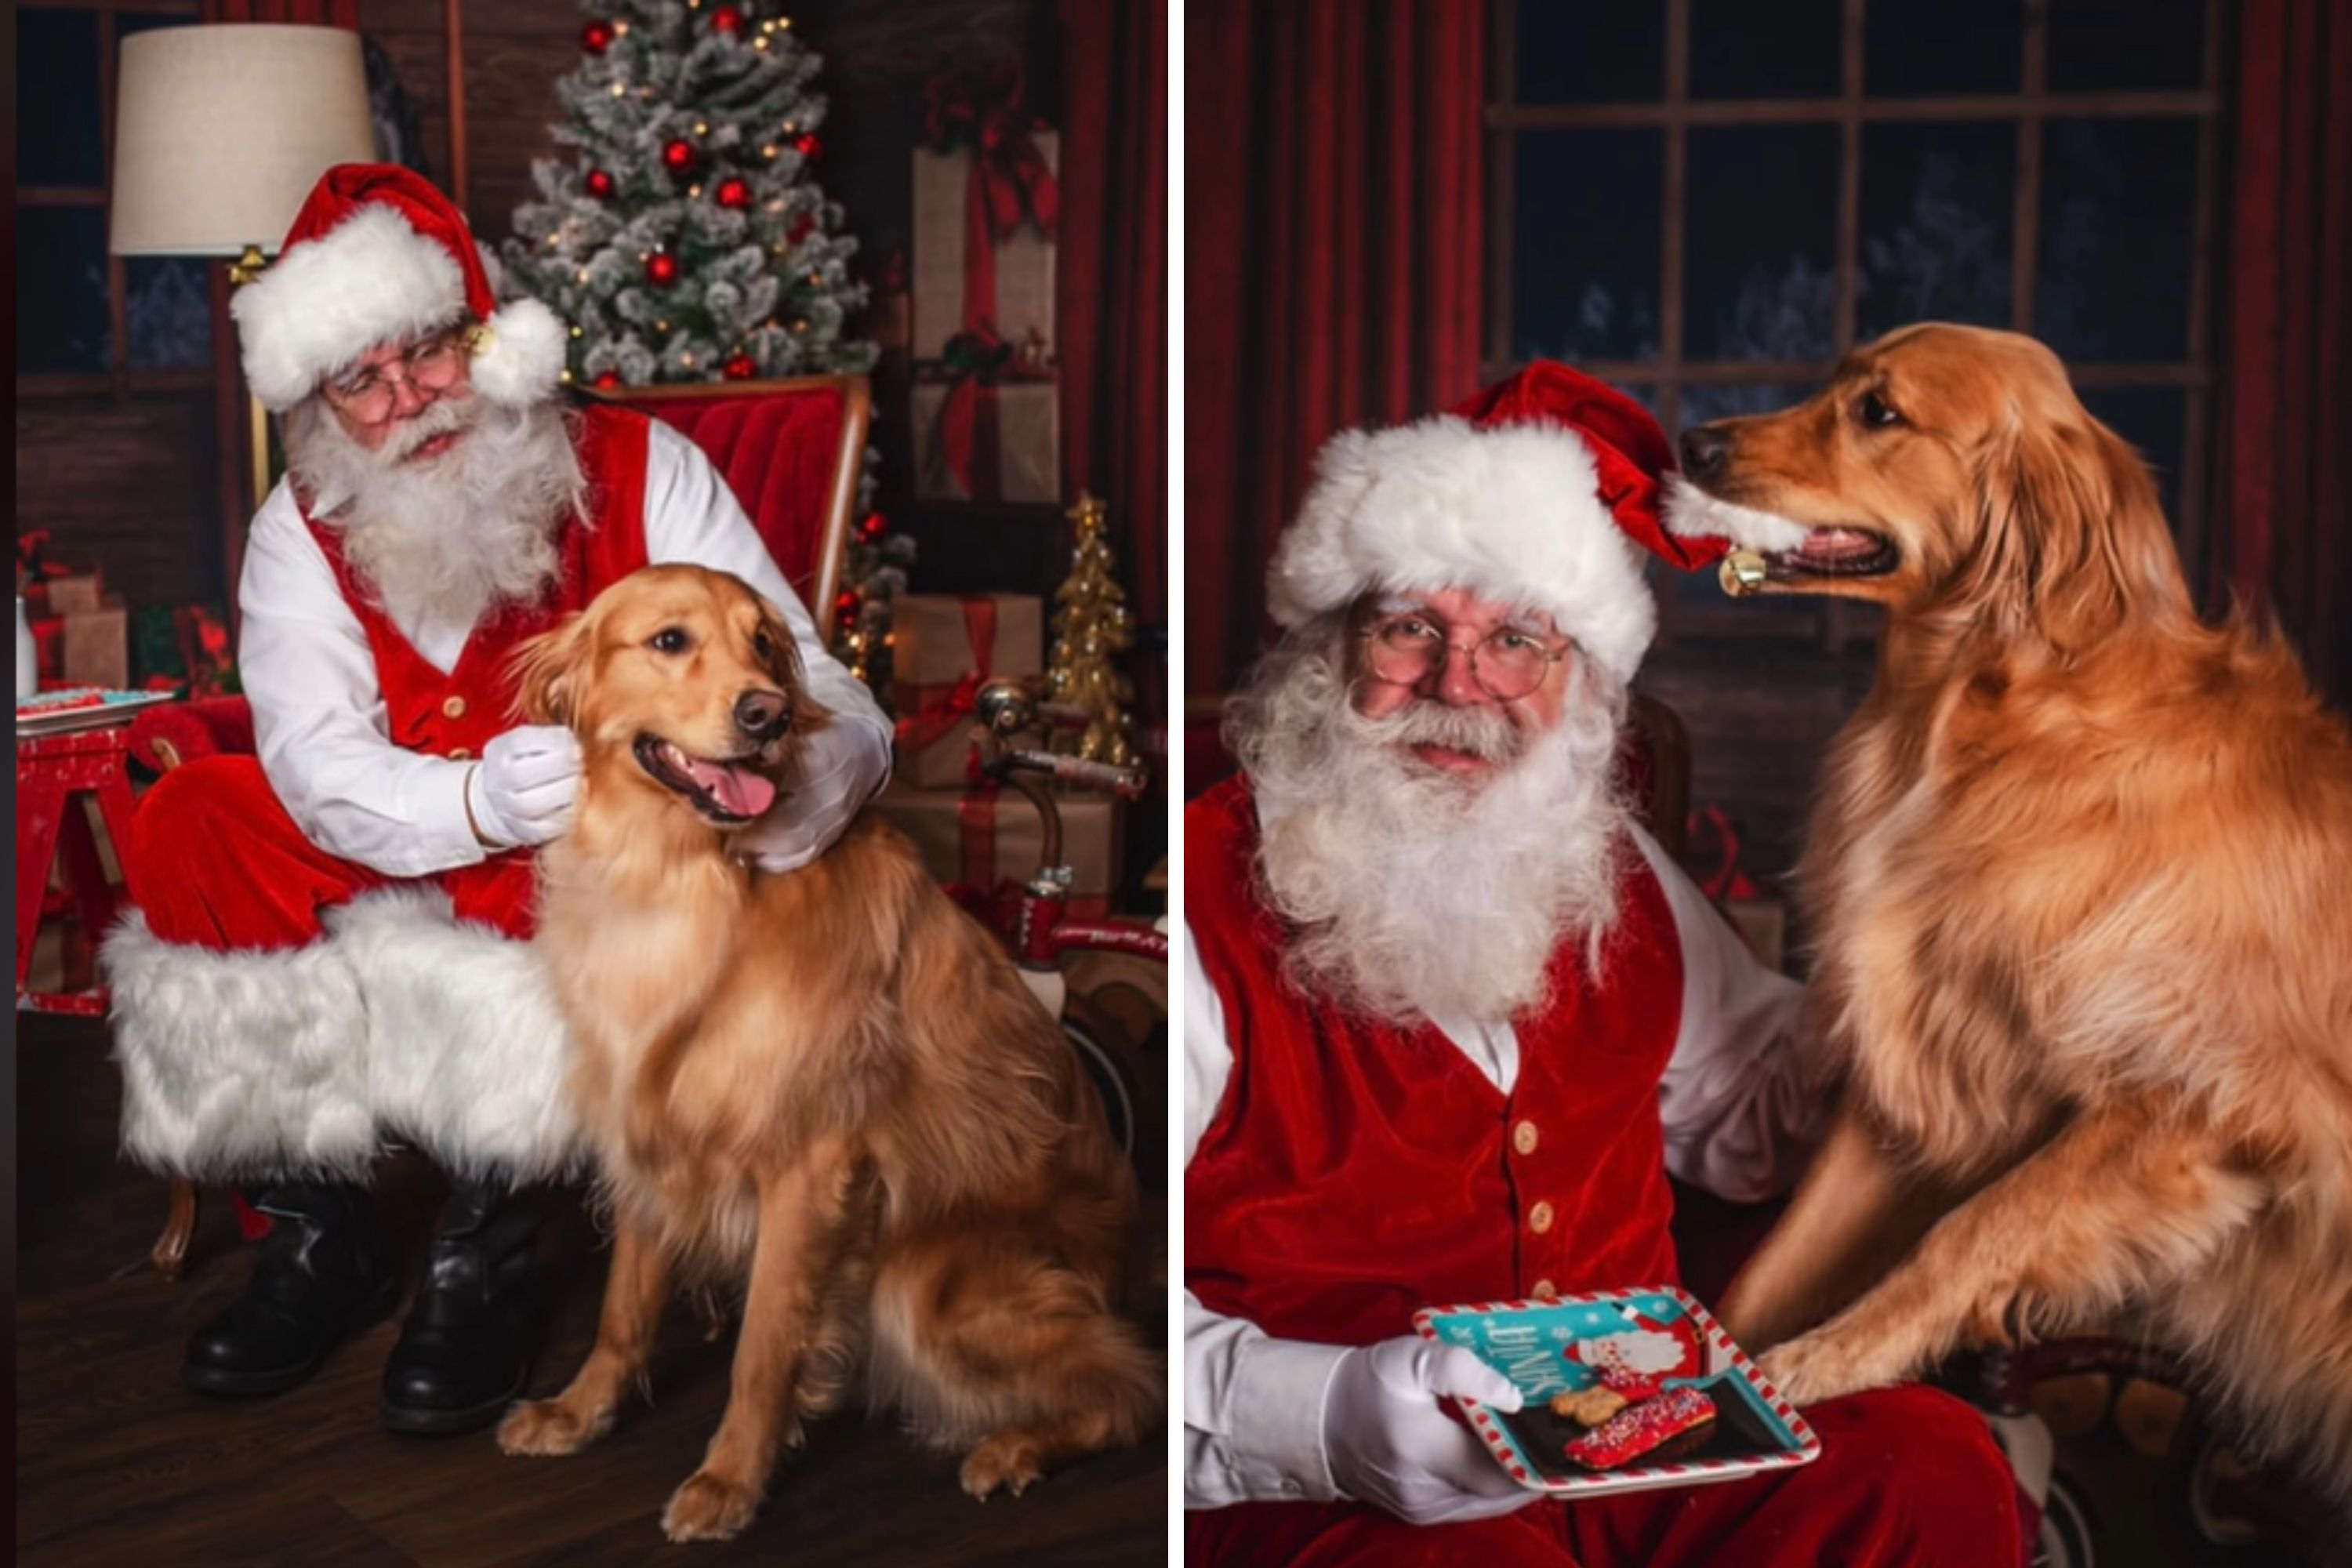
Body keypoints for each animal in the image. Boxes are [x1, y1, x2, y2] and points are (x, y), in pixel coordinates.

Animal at [494, 564, 1157, 1542]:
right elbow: (624, 1305)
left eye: (767, 643)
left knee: (1130, 1384)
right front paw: (581, 1410)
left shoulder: (809, 1164)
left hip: (922, 1285)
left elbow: (766, 1347)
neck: (684, 877)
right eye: (669, 640)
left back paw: (1013, 1447)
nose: (765, 713)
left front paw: (730, 1481)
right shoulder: (647, 1124)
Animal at [1675, 324, 2352, 1514]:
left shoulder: (2191, 1105)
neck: (1983, 719)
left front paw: (1824, 1363)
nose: (1693, 442)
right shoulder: (1925, 1073)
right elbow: (1767, 1265)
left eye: (1880, 412)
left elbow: (1969, 1234)